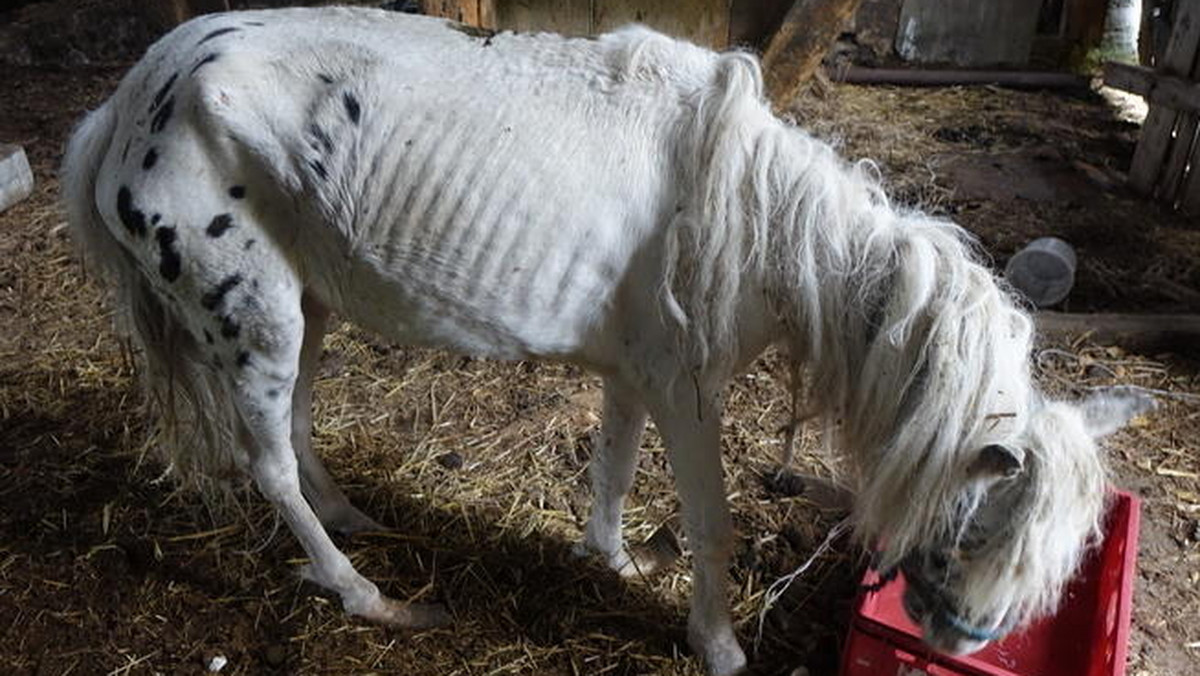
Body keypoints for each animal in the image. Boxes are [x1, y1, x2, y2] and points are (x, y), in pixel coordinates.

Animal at [63, 7, 1152, 672]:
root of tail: (130, 96)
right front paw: (719, 645)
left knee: (295, 428)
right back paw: (366, 594)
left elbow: (616, 469)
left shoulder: (636, 374)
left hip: (304, 303)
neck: (755, 220)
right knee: (268, 466)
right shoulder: (690, 390)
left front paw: (614, 560)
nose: (959, 639)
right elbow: (709, 523)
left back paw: (355, 520)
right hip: (254, 312)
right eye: (982, 526)